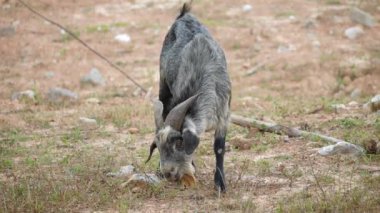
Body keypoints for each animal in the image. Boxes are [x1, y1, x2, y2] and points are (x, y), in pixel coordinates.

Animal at [146, 1, 232, 191]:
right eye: (159, 148)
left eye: (179, 143)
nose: (168, 174)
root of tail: (184, 15)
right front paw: (189, 171)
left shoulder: (224, 113)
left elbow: (219, 148)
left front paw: (220, 184)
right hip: (163, 84)